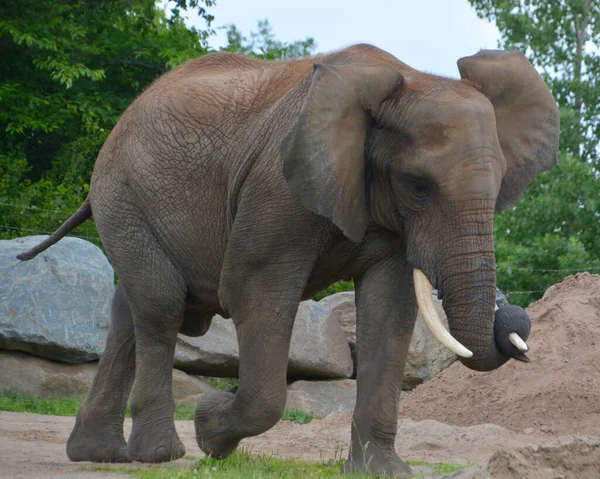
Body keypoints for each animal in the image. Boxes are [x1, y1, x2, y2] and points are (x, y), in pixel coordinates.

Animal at [18, 43, 560, 478]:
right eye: (417, 185)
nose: (514, 321)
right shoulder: (276, 187)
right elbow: (252, 290)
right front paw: (210, 433)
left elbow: (389, 311)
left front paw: (382, 473)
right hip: (123, 194)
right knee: (160, 306)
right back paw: (159, 456)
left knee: (129, 309)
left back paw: (98, 454)